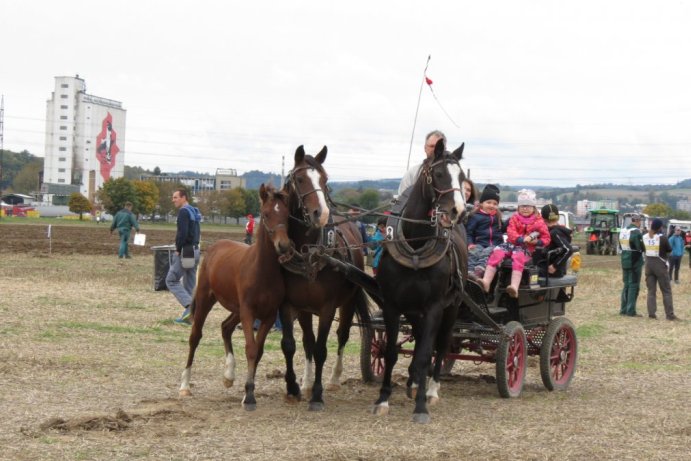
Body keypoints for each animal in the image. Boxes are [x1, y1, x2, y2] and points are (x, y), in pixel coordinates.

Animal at [178, 183, 292, 410]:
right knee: (195, 337)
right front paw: (249, 397)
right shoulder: (248, 312)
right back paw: (185, 385)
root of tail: (215, 246)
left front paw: (248, 392)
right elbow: (250, 348)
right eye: (266, 214)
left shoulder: (268, 316)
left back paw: (228, 375)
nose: (283, 245)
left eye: (286, 214)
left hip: (236, 309)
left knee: (225, 327)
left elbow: (258, 350)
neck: (262, 270)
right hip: (206, 299)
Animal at [278, 145, 370, 410]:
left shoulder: (328, 307)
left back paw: (333, 379)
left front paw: (317, 394)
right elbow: (293, 345)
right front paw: (297, 387)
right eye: (299, 179)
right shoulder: (291, 304)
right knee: (309, 341)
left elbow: (321, 349)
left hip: (348, 302)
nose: (322, 213)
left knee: (342, 335)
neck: (309, 253)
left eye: (325, 179)